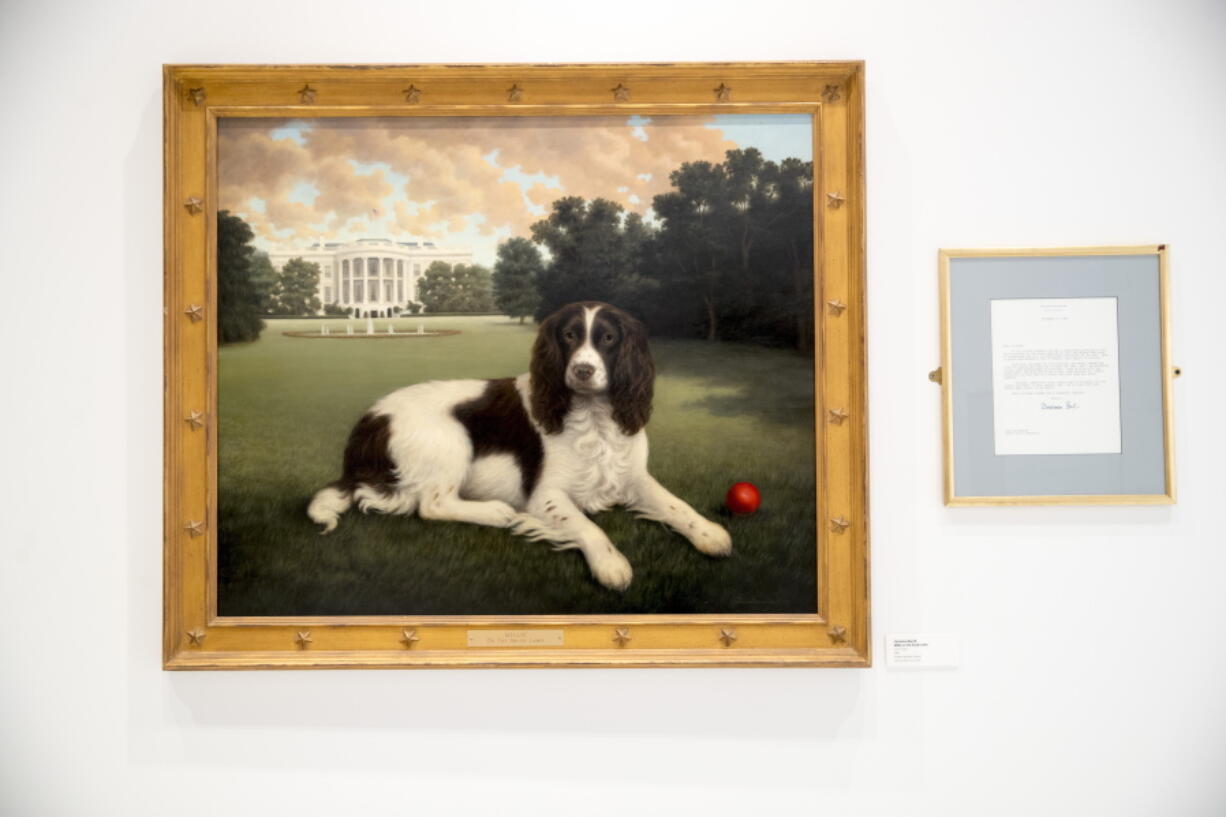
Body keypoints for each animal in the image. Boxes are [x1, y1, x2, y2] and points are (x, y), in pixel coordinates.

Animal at [308, 299, 725, 586]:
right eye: (569, 336)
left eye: (608, 338)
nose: (582, 370)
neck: (594, 416)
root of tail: (369, 423)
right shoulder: (546, 496)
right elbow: (588, 527)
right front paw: (611, 564)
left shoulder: (633, 476)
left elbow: (675, 504)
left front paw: (710, 533)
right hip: (450, 437)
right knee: (431, 504)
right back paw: (496, 512)